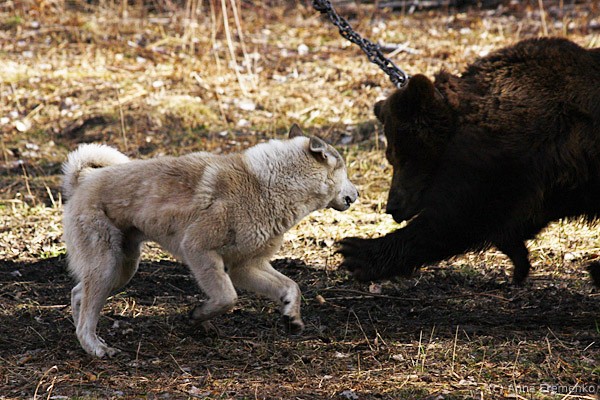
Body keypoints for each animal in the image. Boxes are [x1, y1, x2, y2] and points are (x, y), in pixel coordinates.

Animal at [62, 124, 358, 357]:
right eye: (343, 169)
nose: (357, 194)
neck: (267, 185)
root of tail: (82, 181)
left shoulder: (246, 266)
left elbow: (291, 286)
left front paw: (291, 317)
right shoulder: (198, 248)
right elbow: (227, 297)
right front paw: (199, 315)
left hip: (122, 267)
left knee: (78, 295)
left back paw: (86, 340)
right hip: (107, 265)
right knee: (86, 310)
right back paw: (97, 348)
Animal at [338, 37, 600, 284]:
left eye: (402, 156)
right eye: (392, 157)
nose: (393, 206)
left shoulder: (503, 158)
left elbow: (458, 215)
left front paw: (357, 252)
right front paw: (519, 259)